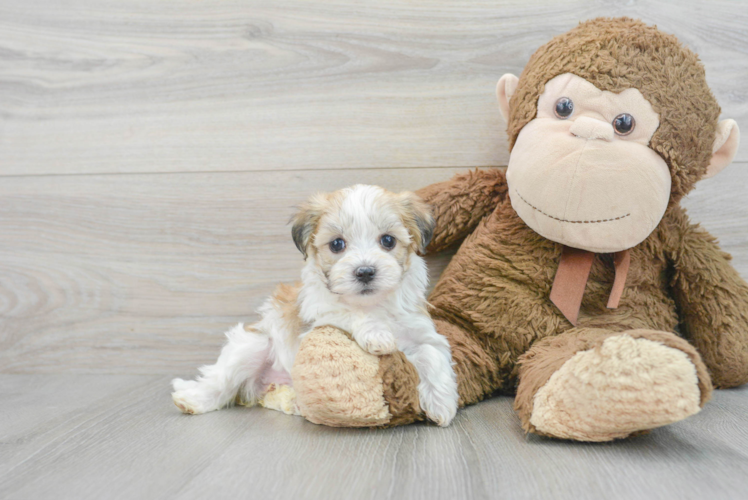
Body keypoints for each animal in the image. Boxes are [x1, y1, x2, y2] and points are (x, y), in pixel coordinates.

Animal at [172, 184, 458, 426]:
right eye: (337, 244)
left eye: (388, 241)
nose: (365, 271)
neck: (372, 303)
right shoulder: (319, 317)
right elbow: (348, 312)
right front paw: (376, 333)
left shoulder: (422, 331)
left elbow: (432, 353)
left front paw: (442, 403)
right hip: (253, 345)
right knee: (221, 380)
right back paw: (192, 399)